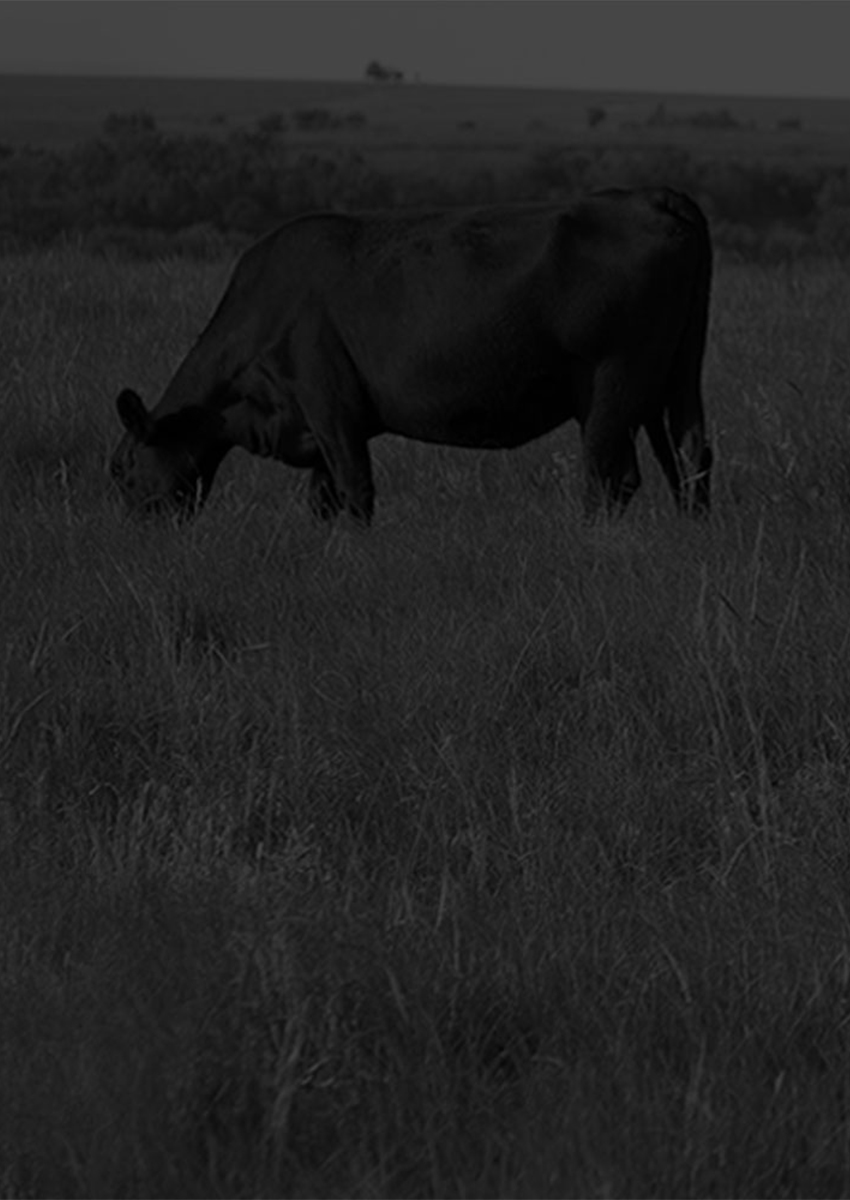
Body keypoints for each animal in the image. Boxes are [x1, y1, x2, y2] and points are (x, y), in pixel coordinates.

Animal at [110, 187, 713, 525]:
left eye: (122, 471)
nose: (138, 533)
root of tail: (649, 196)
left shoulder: (330, 406)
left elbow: (355, 493)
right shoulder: (317, 429)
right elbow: (323, 501)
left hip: (613, 385)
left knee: (611, 477)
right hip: (677, 375)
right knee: (691, 455)